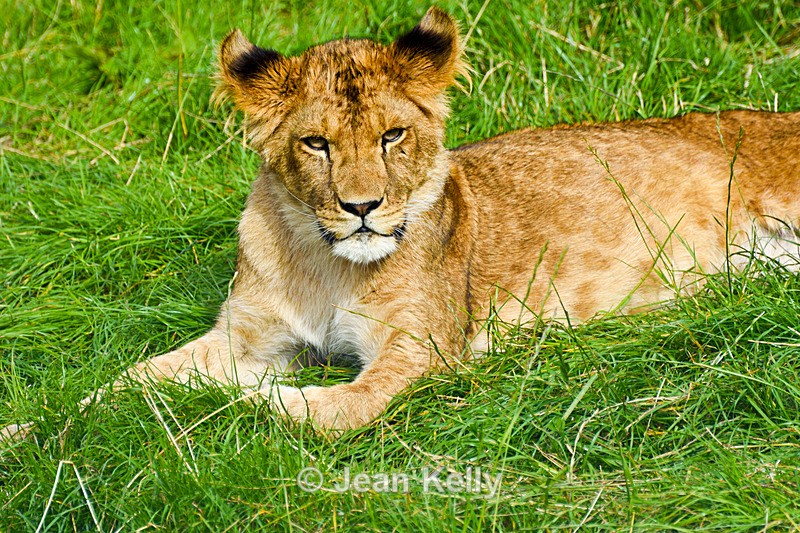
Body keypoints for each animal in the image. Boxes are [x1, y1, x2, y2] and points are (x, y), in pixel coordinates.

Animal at [2, 7, 799, 439]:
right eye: (316, 143)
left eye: (392, 136)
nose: (361, 208)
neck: (324, 262)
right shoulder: (242, 336)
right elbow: (119, 383)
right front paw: (34, 430)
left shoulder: (421, 355)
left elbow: (307, 409)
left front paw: (207, 406)